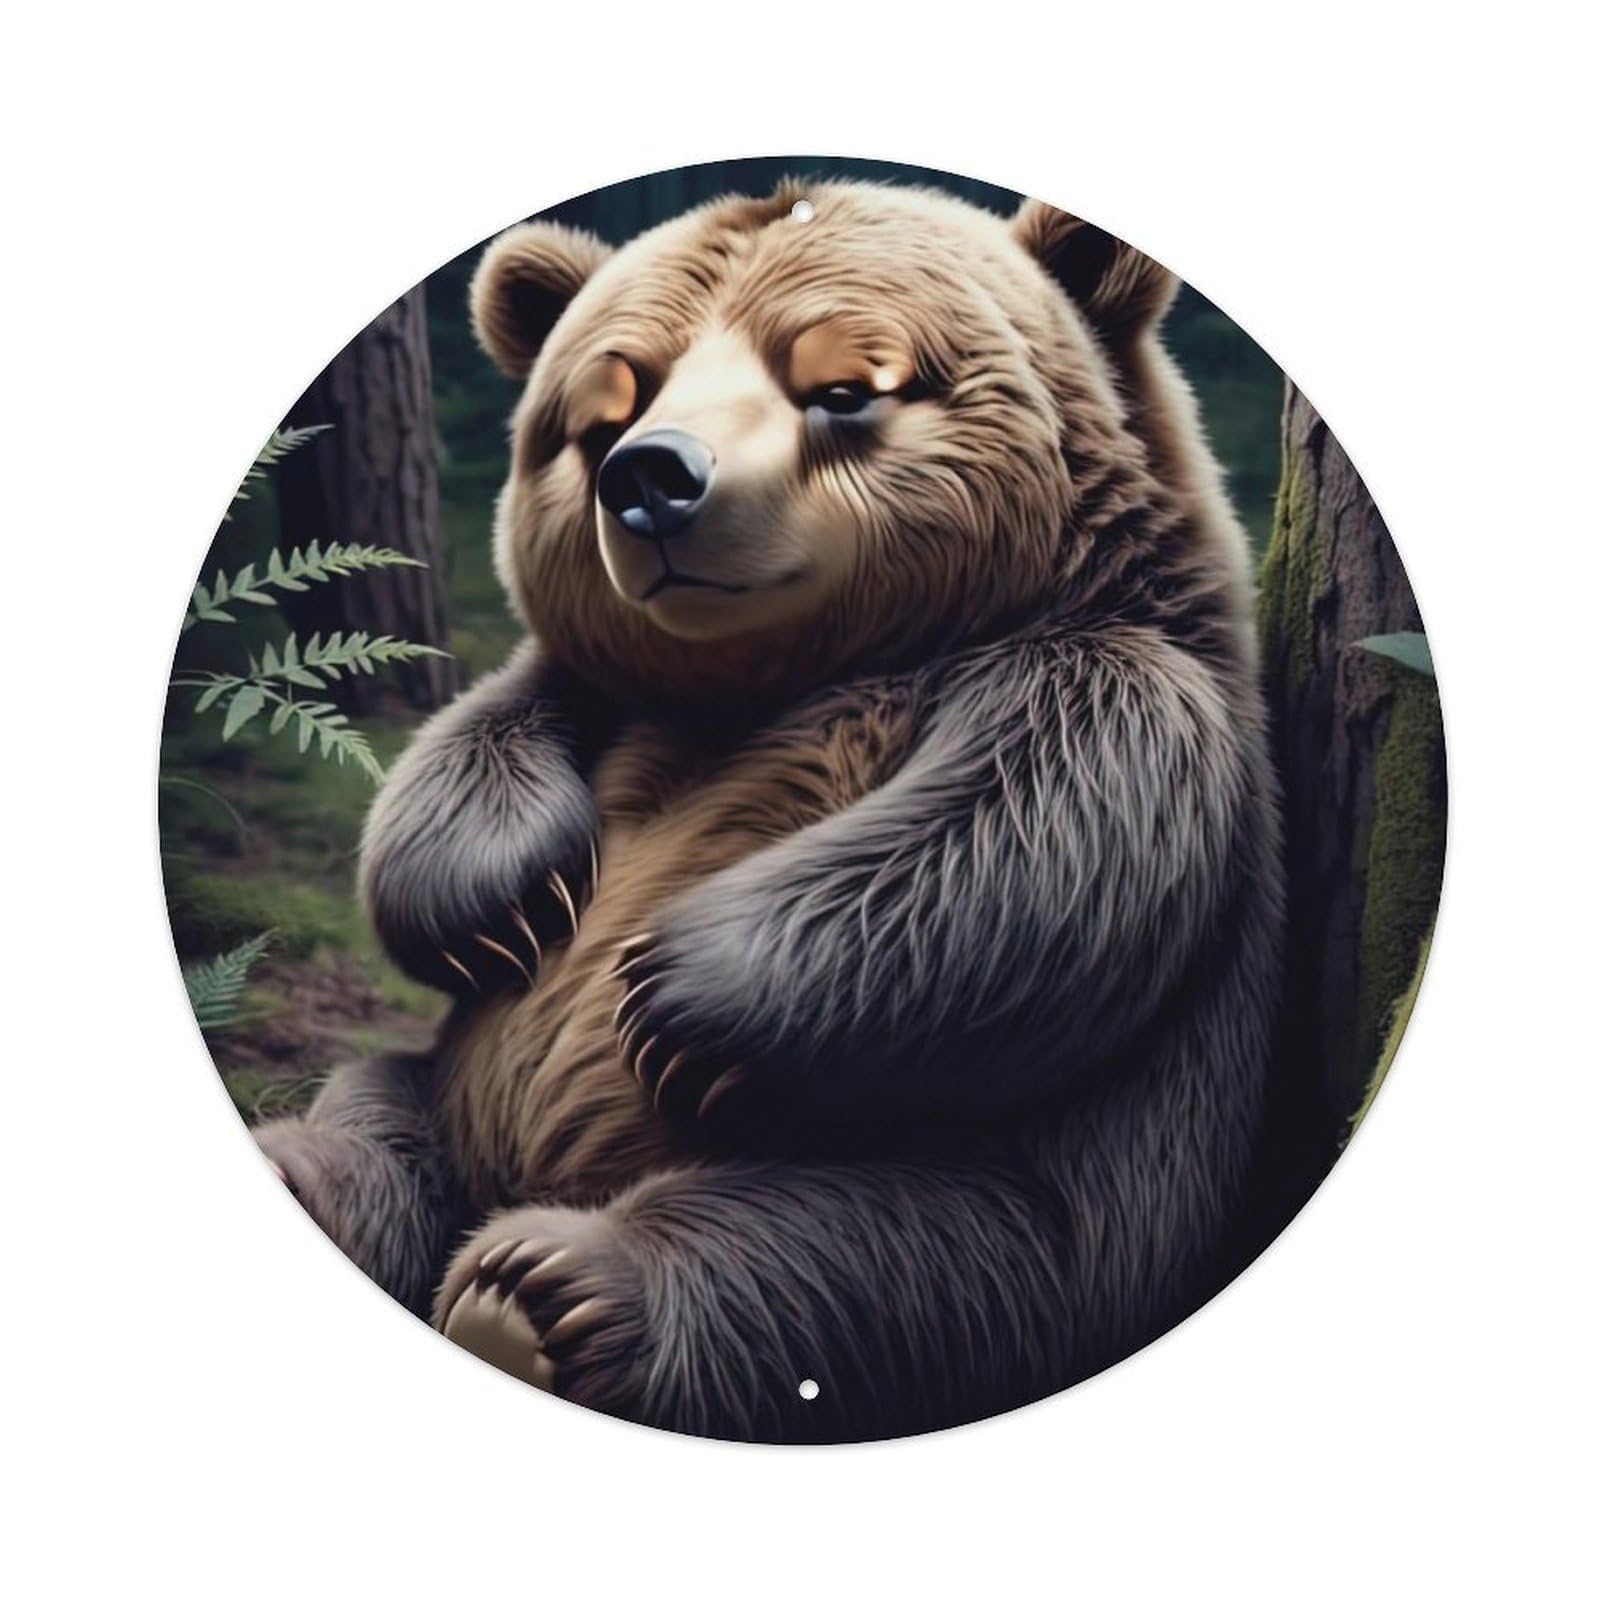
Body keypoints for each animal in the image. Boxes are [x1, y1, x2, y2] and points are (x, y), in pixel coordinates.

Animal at [255, 180, 1285, 1443]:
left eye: (843, 386)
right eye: (609, 403)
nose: (651, 477)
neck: (785, 670)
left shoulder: (1100, 674)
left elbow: (1012, 833)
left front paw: (664, 993)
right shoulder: (599, 696)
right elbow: (468, 748)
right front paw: (505, 904)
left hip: (1017, 1203)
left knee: (836, 1263)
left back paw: (549, 1295)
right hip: (445, 1092)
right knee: (375, 1112)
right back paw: (315, 1180)